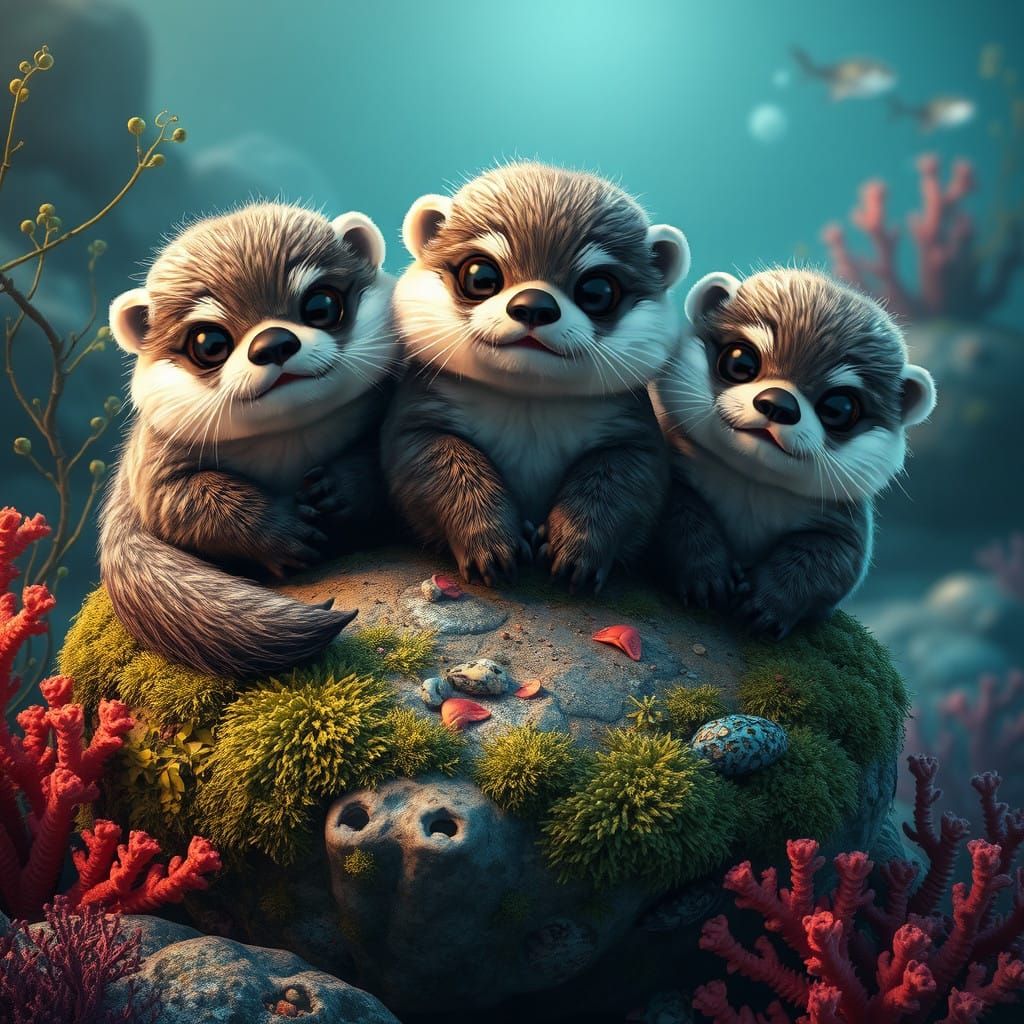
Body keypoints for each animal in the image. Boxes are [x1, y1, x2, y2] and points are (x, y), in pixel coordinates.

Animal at [102, 202, 398, 677]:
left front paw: (338, 490)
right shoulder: (156, 471)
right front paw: (283, 529)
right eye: (208, 341)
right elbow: (189, 506)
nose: (273, 343)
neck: (292, 449)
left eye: (321, 303)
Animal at [382, 162, 689, 592]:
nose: (534, 306)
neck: (528, 410)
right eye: (480, 275)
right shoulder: (417, 421)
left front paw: (579, 547)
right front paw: (492, 540)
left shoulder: (637, 435)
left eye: (597, 290)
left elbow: (623, 485)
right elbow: (437, 468)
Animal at [652, 268, 936, 638]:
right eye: (740, 361)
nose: (778, 404)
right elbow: (681, 512)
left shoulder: (844, 522)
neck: (751, 486)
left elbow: (829, 564)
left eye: (840, 407)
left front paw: (767, 602)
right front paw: (706, 573)